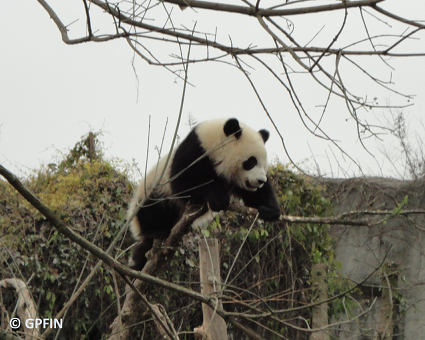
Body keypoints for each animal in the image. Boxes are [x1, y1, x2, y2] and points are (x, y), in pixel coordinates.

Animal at [128, 118, 282, 270]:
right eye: (251, 161)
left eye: (263, 164)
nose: (260, 180)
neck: (213, 143)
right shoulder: (194, 152)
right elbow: (185, 182)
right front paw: (219, 199)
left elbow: (256, 194)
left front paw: (269, 210)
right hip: (153, 193)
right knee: (155, 210)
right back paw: (160, 231)